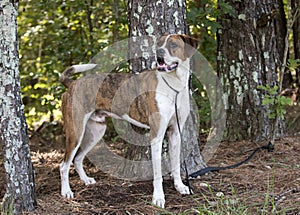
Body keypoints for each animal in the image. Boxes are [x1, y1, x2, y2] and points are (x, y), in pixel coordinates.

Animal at [59, 34, 198, 207]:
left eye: (173, 44)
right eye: (159, 44)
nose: (158, 52)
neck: (173, 86)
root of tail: (73, 83)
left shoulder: (175, 133)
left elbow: (176, 165)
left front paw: (180, 186)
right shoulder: (157, 136)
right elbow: (157, 173)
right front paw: (158, 197)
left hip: (96, 131)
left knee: (78, 158)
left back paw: (85, 180)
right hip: (76, 131)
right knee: (64, 165)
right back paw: (66, 191)